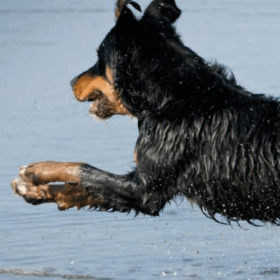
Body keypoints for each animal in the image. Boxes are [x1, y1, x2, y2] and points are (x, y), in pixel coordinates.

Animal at [12, 0, 280, 225]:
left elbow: (84, 169)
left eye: (99, 57)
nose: (71, 82)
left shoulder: (145, 190)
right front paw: (37, 191)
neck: (173, 96)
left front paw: (35, 172)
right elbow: (85, 189)